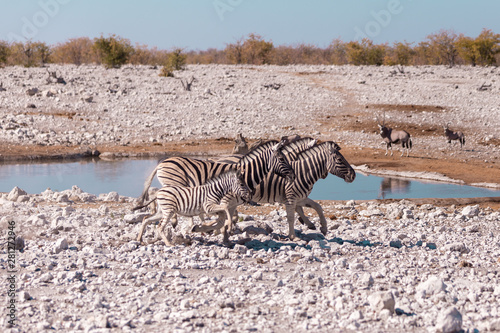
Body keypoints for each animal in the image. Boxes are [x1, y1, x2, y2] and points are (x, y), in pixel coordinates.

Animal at [135, 139, 294, 227]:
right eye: (281, 159)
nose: (293, 175)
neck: (247, 173)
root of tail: (162, 163)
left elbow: (231, 216)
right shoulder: (226, 198)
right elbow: (225, 214)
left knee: (155, 192)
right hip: (175, 181)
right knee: (158, 193)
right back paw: (174, 220)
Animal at [195, 140, 356, 239]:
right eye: (340, 160)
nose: (353, 175)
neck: (302, 171)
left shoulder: (299, 197)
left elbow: (317, 206)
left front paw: (322, 227)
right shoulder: (291, 197)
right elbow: (291, 216)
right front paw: (293, 236)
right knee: (222, 210)